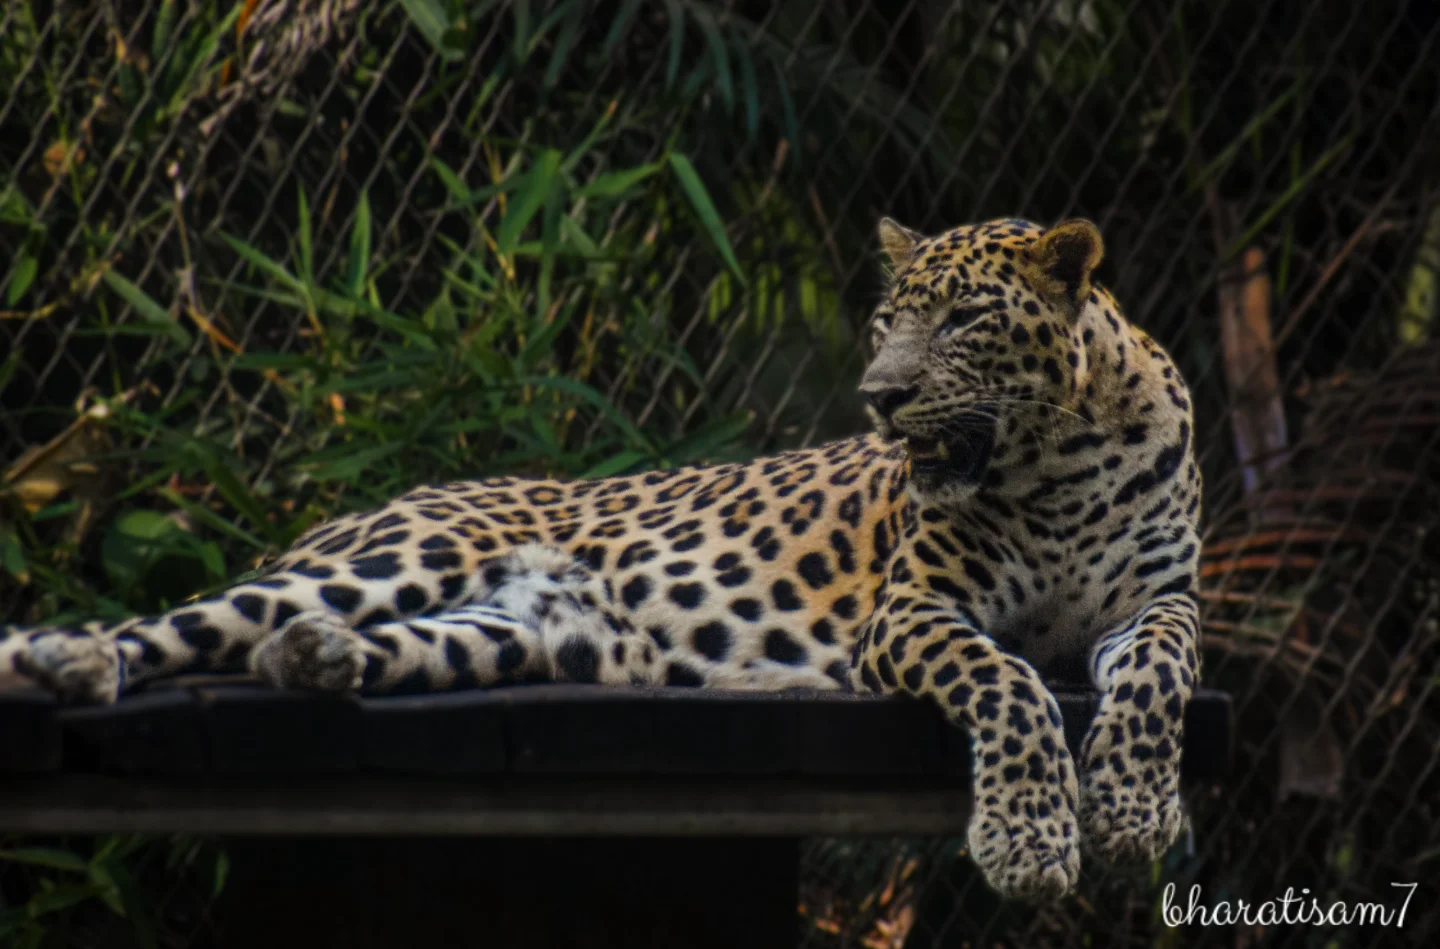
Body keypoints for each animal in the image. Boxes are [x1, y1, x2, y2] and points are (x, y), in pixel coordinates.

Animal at [1, 216, 1202, 903]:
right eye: (883, 323)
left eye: (960, 322)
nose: (881, 399)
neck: (1061, 460)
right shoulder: (913, 609)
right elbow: (1011, 686)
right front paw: (1030, 841)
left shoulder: (1164, 602)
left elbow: (1156, 681)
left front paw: (1137, 812)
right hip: (396, 553)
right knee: (175, 624)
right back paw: (64, 663)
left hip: (508, 637)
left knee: (310, 646)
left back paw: (316, 659)